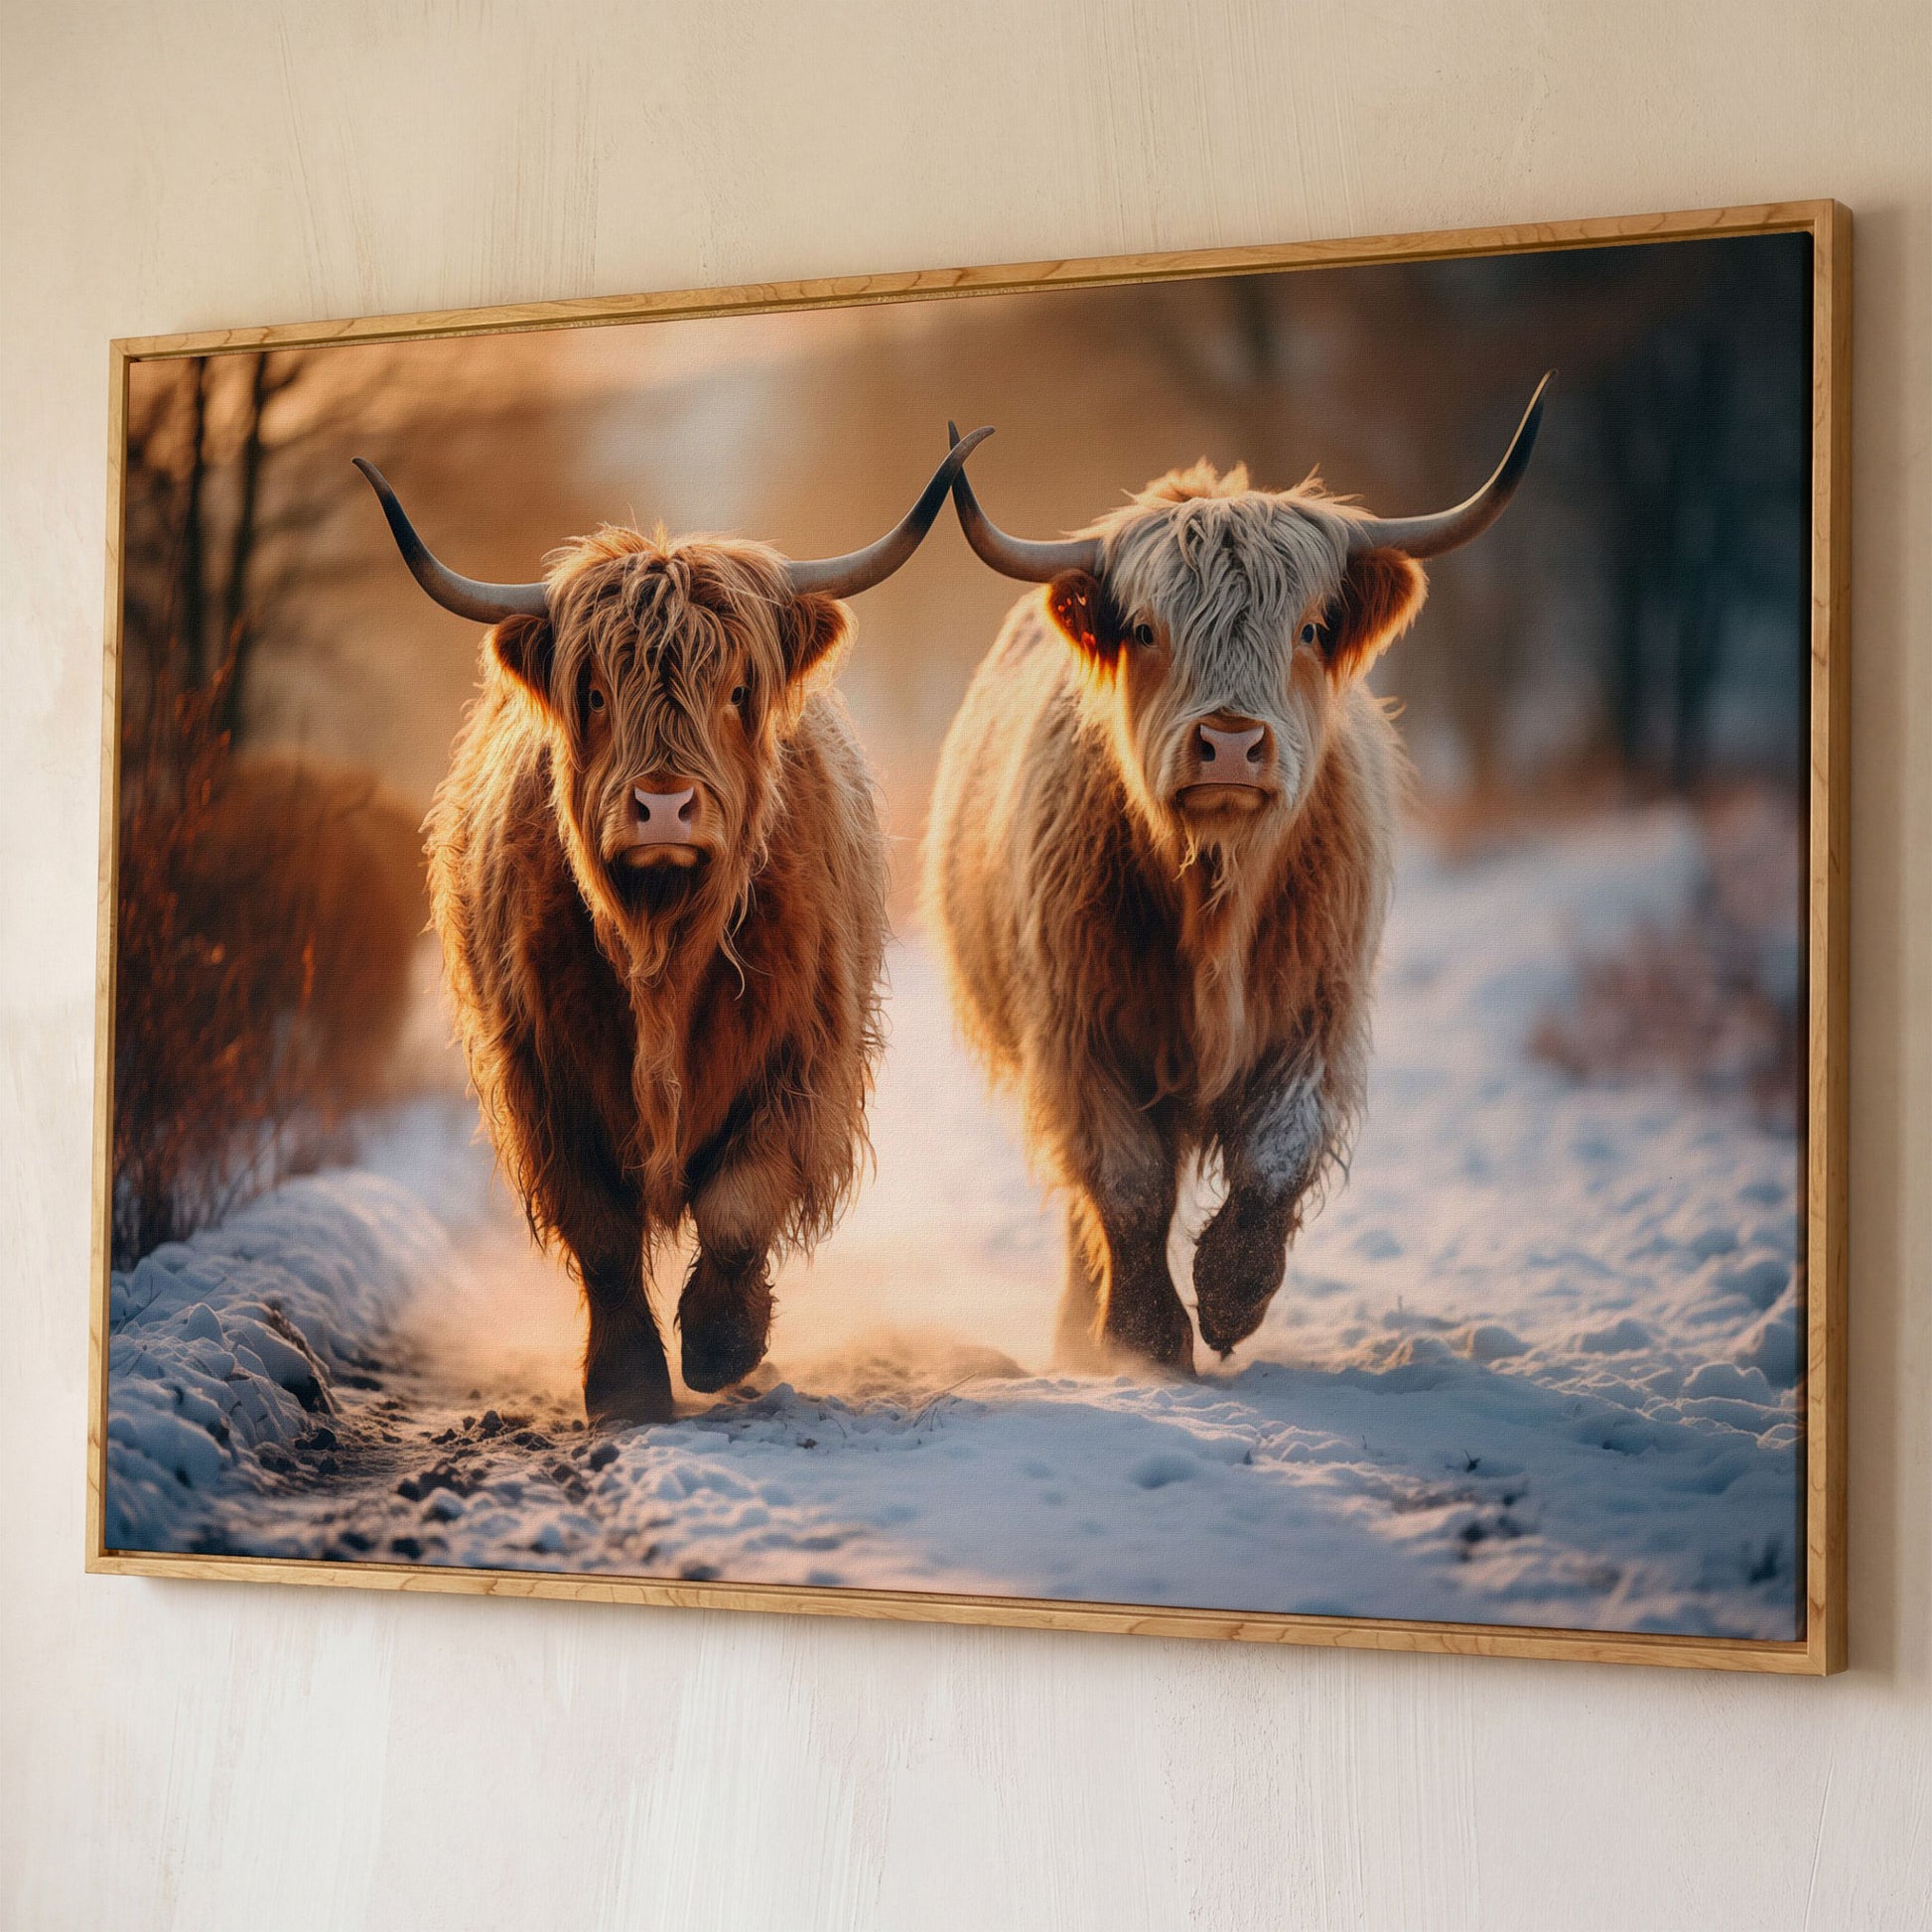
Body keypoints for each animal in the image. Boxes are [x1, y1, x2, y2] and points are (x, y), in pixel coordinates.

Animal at [357, 432, 990, 1425]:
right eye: (592, 692)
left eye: (735, 690)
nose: (662, 806)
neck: (661, 943)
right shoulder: (544, 1074)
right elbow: (602, 1232)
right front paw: (624, 1385)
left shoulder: (801, 1055)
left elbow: (737, 1207)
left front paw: (723, 1346)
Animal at [923, 383, 1548, 1372]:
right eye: (1146, 630)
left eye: (1312, 629)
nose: (1228, 743)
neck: (1215, 891)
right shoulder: (1079, 1029)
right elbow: (1126, 1183)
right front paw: (1142, 1337)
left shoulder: (1316, 1010)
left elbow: (1277, 1153)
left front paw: (1230, 1296)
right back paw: (1079, 1332)